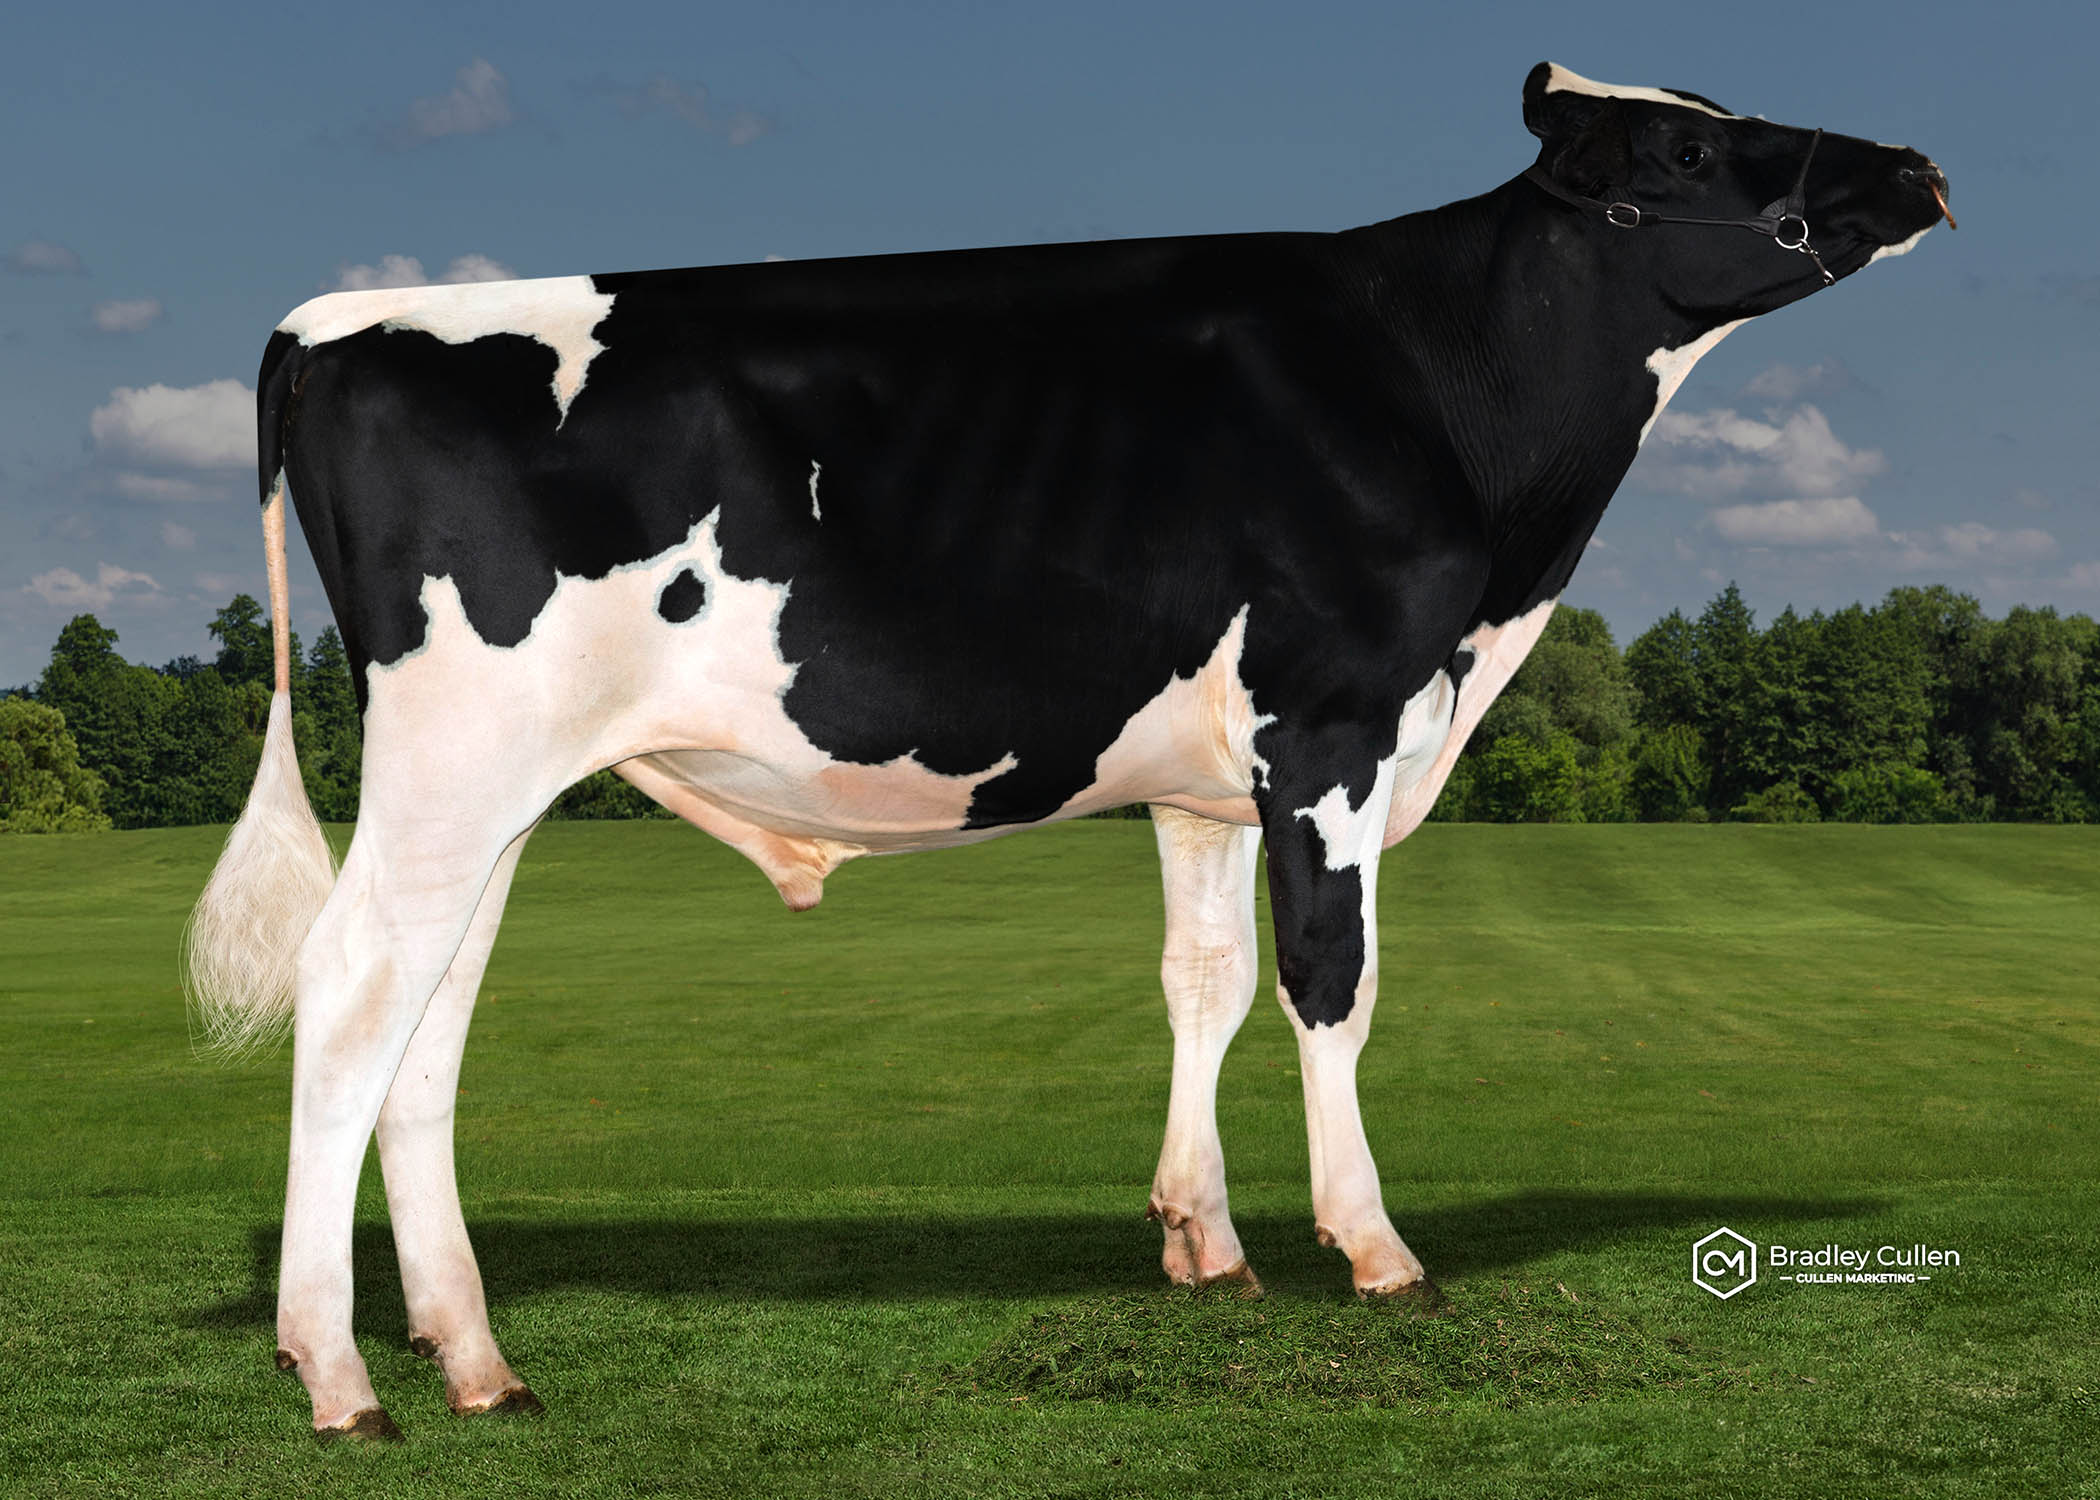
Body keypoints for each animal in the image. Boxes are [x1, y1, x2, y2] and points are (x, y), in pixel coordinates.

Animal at [186, 63, 1948, 1439]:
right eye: (1688, 156)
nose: (1917, 167)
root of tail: (337, 320)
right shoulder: (1334, 724)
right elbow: (1333, 982)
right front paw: (1373, 1250)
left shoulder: (1208, 780)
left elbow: (1204, 981)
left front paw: (1205, 1243)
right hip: (457, 755)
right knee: (350, 986)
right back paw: (340, 1374)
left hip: (494, 788)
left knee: (426, 1021)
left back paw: (474, 1358)